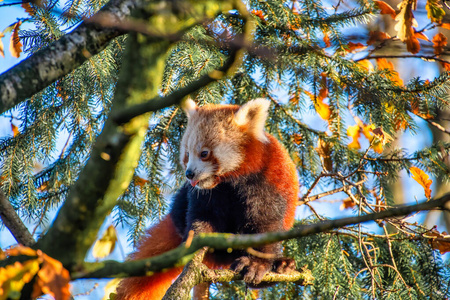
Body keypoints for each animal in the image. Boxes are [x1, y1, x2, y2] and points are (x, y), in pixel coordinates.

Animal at [114, 97, 300, 298]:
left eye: (204, 153)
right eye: (187, 155)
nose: (189, 174)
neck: (229, 182)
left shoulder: (265, 184)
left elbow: (264, 224)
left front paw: (256, 264)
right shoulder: (206, 195)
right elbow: (202, 218)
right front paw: (196, 242)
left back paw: (282, 265)